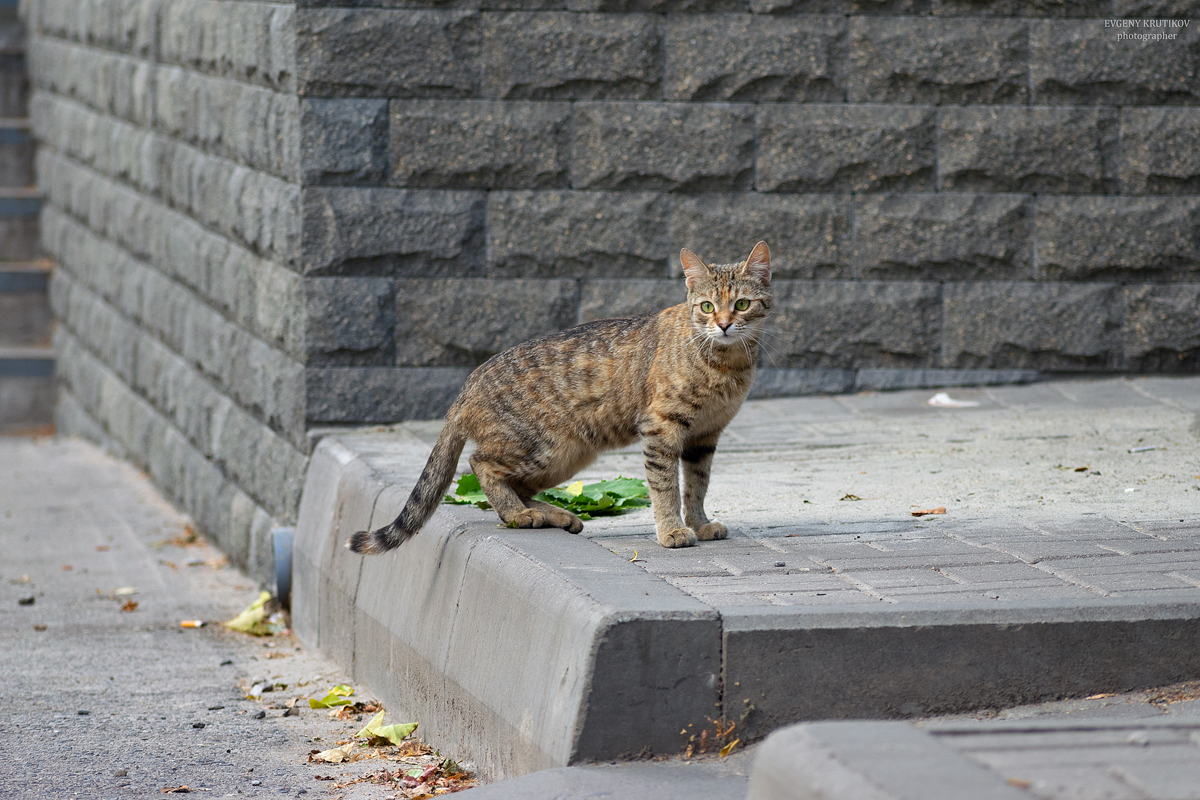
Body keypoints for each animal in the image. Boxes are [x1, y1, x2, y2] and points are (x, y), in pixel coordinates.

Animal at [350, 239, 772, 551]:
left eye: (742, 304)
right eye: (706, 306)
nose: (724, 324)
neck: (724, 365)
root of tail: (469, 383)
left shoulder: (705, 436)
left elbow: (696, 486)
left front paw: (699, 524)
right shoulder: (661, 428)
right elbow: (665, 486)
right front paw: (671, 530)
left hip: (565, 458)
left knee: (515, 485)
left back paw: (554, 514)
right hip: (543, 447)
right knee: (479, 464)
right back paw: (521, 515)